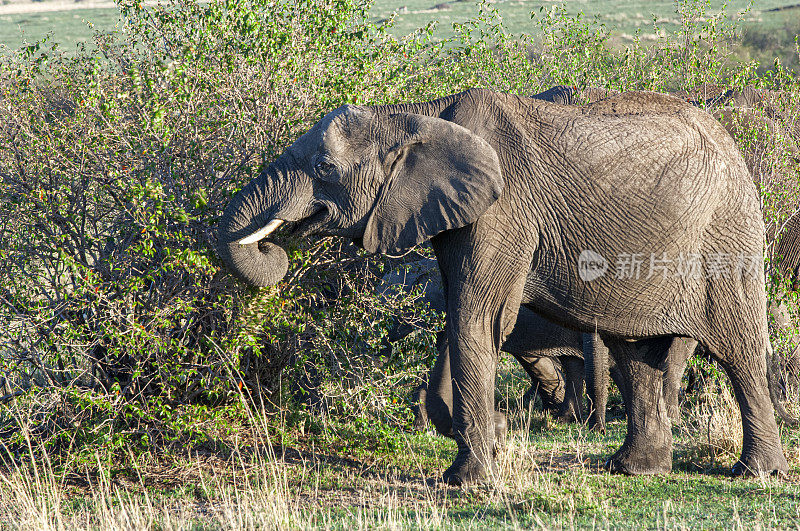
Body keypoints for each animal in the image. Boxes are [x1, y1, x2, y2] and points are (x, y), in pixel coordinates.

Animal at [217, 89, 788, 484]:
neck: (417, 114)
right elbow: (463, 313)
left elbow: (477, 316)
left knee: (739, 351)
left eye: (325, 167)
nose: (274, 247)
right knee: (636, 352)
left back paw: (757, 473)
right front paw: (482, 451)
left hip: (726, 232)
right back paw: (633, 470)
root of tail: (735, 147)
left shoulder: (503, 209)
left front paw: (465, 481)